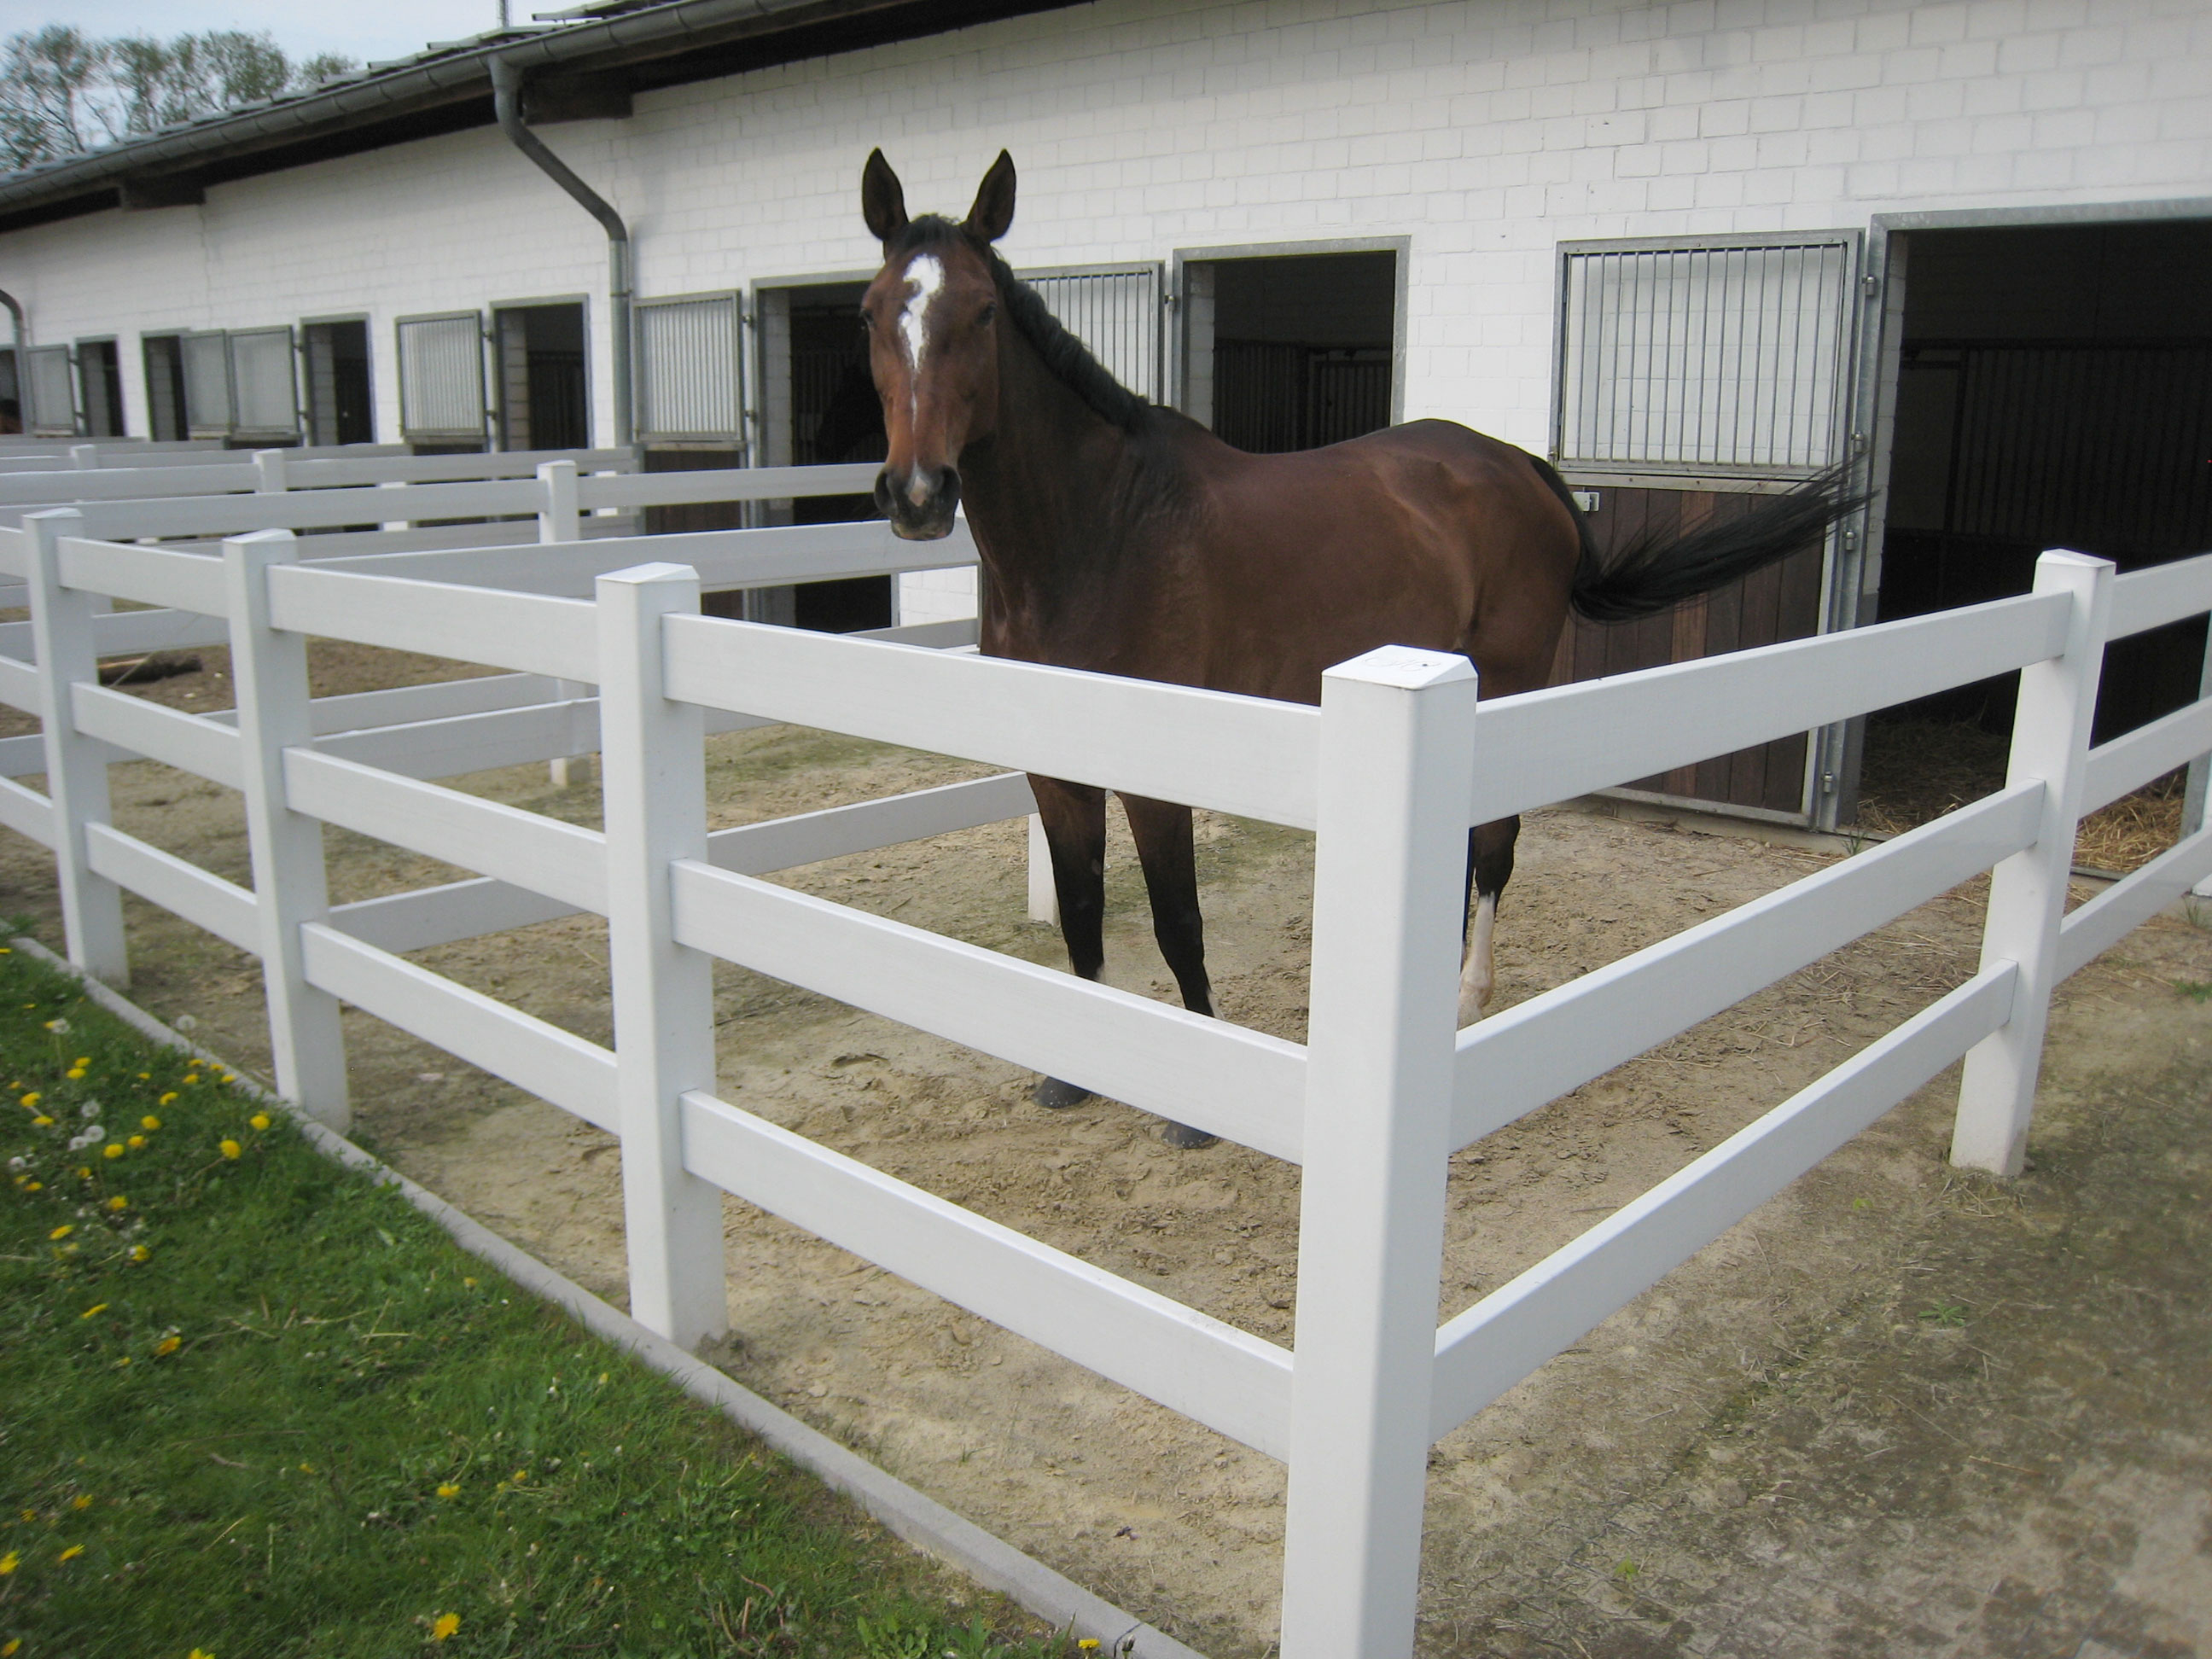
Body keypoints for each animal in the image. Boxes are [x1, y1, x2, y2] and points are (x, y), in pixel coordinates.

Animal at [859, 149, 1857, 1148]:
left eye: (982, 313)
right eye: (870, 312)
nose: (917, 494)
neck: (1103, 531)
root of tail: (1517, 464)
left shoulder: (1159, 773)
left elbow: (1177, 919)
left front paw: (1195, 1111)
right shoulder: (1055, 768)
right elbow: (1080, 912)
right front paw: (1071, 1071)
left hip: (1508, 684)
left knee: (1494, 848)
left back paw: (1463, 1004)